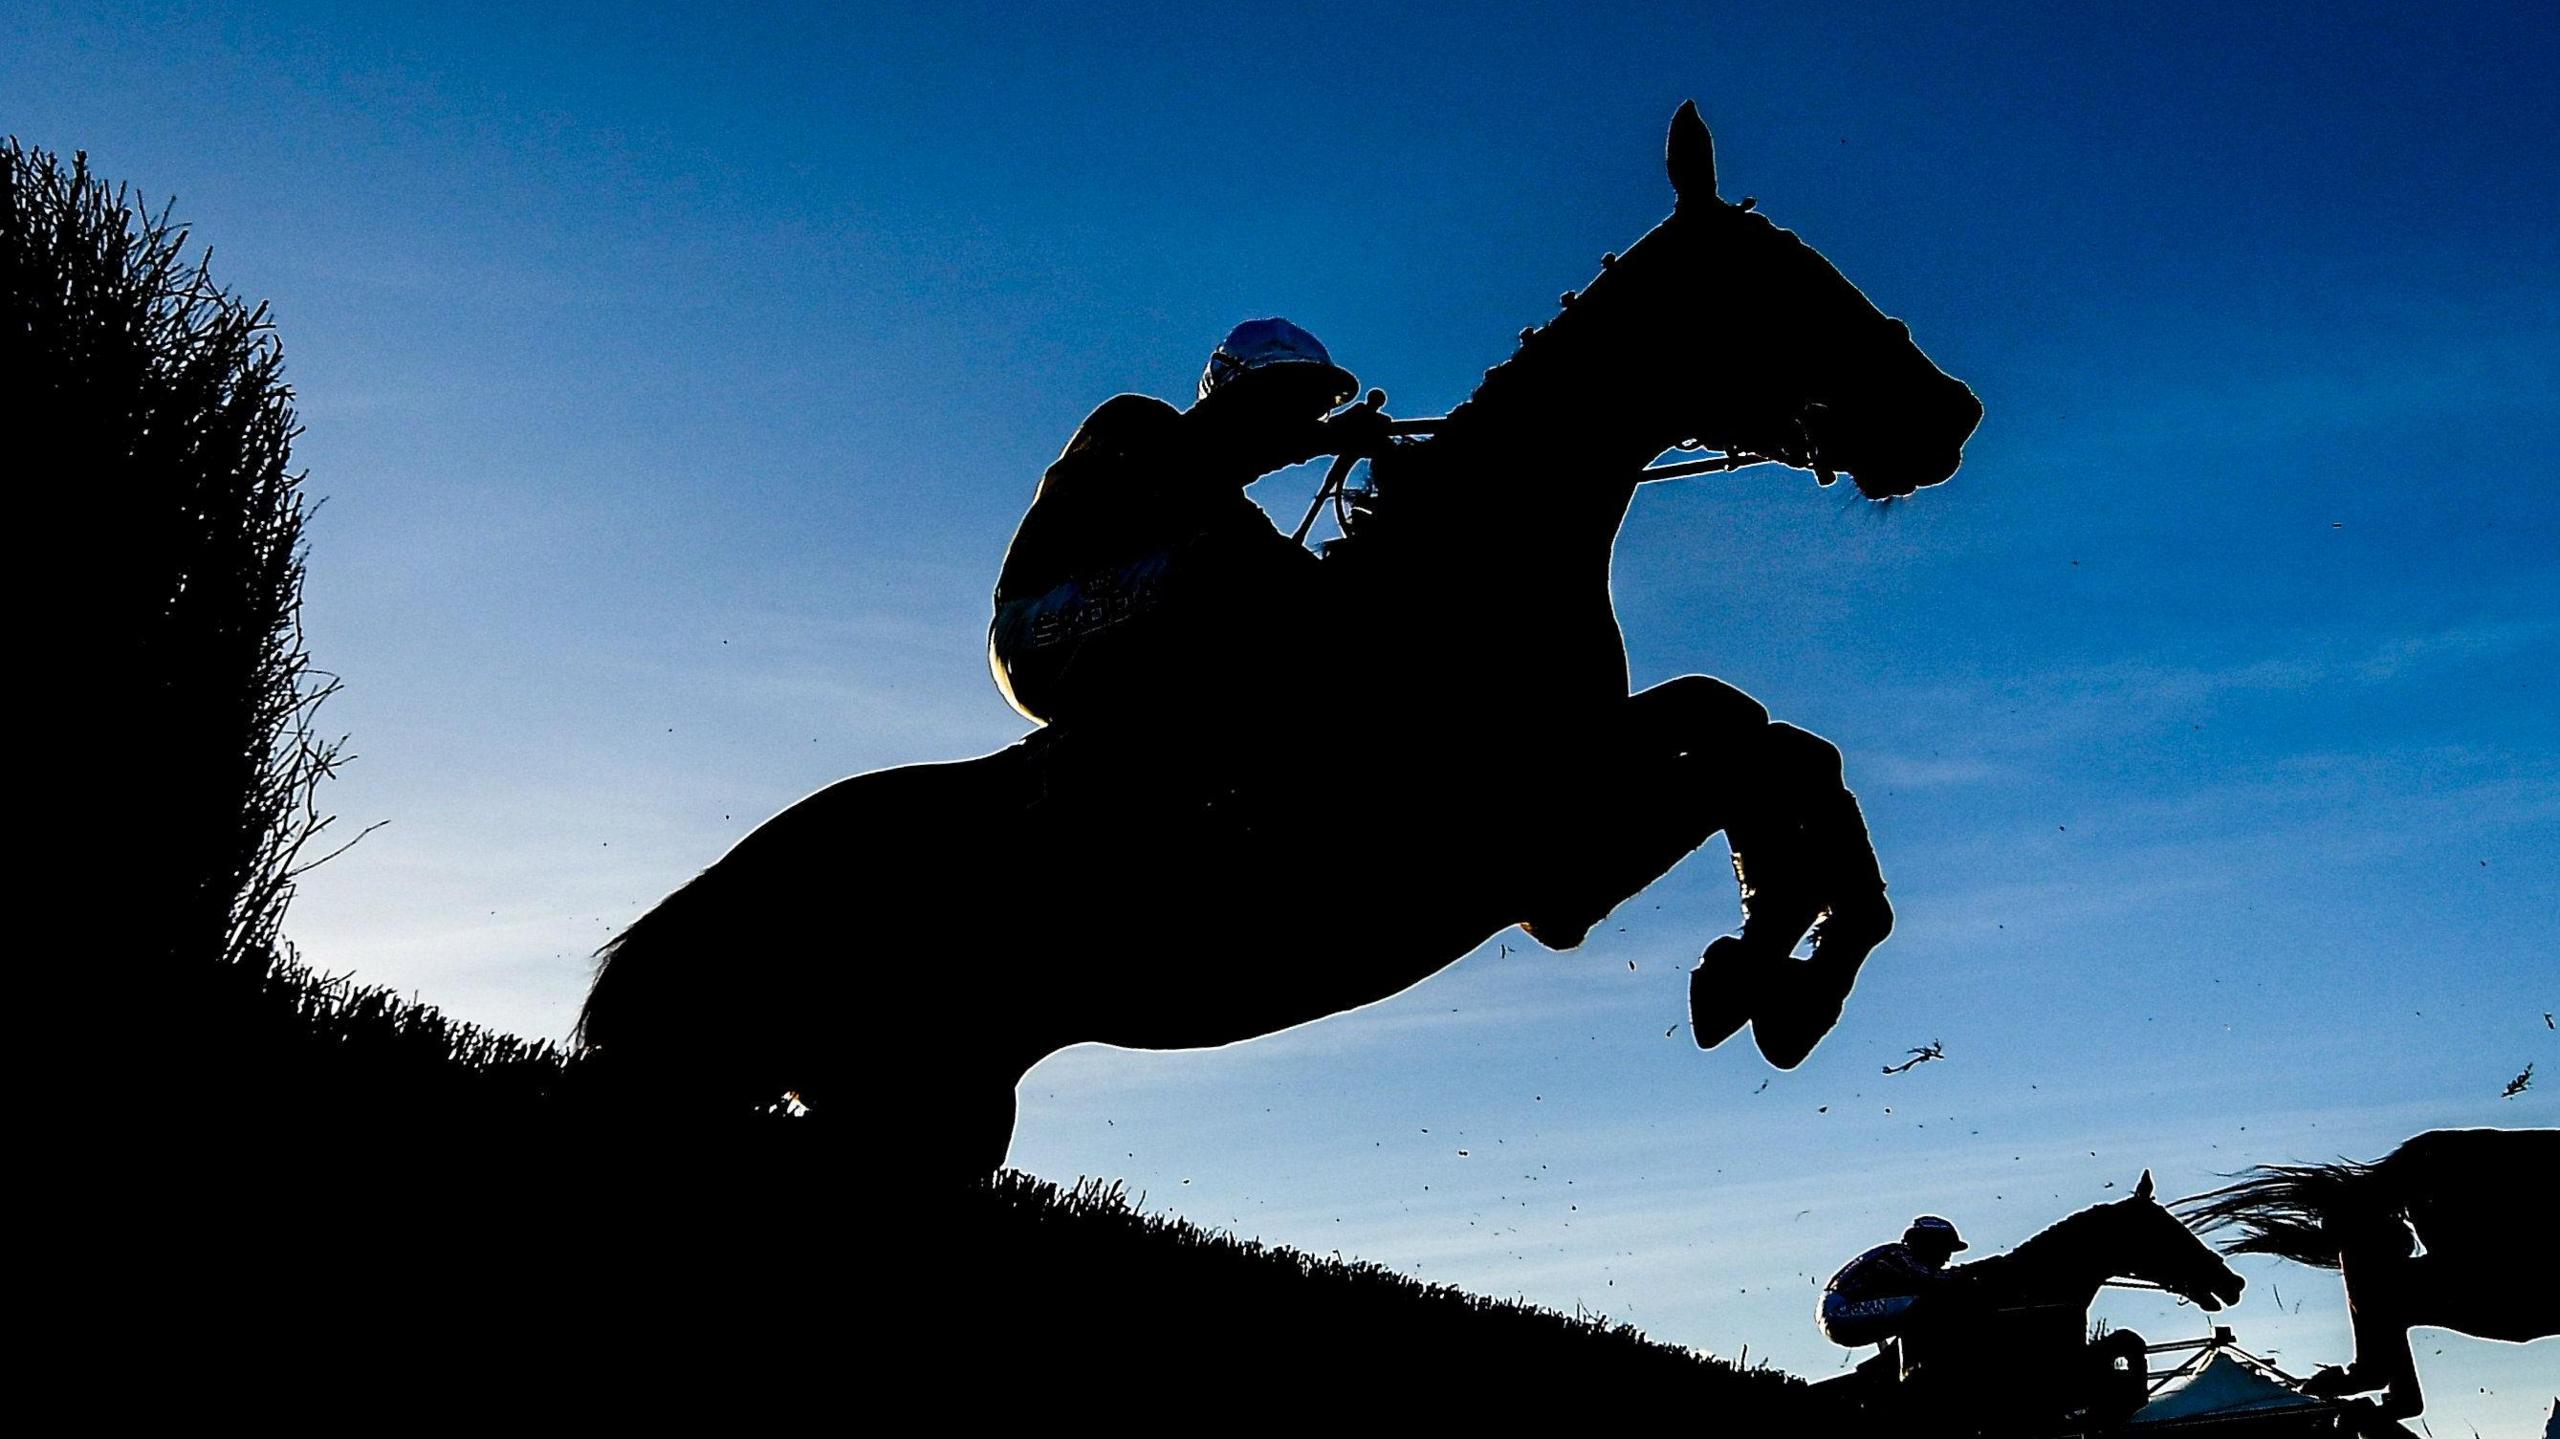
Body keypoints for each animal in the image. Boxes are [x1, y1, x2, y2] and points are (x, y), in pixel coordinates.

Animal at [571, 102, 1984, 1180]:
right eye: (1784, 282)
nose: (1949, 411)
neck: (1460, 584)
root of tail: (692, 917)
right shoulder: (1543, 841)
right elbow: (1746, 734)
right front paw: (1777, 966)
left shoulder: (1572, 811)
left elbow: (1767, 733)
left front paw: (1780, 958)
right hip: (904, 1105)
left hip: (928, 1107)